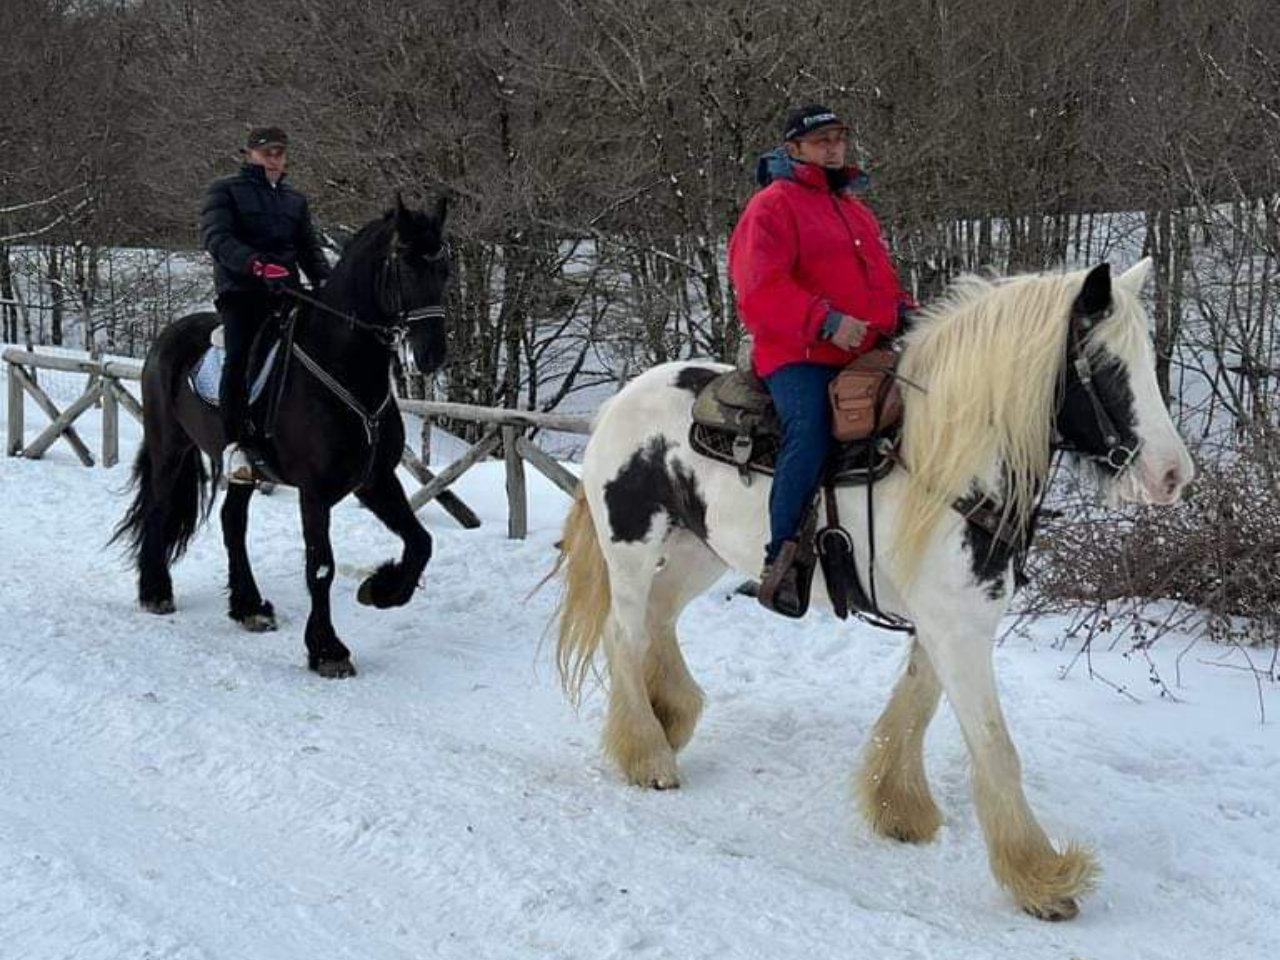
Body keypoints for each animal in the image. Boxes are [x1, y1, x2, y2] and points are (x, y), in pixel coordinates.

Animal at [112, 196, 450, 679]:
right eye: (403, 265)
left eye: (445, 270)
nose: (432, 354)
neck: (345, 366)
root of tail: (168, 337)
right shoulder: (315, 491)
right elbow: (321, 566)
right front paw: (327, 650)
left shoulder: (375, 480)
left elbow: (421, 542)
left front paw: (381, 590)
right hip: (169, 447)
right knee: (159, 509)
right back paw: (156, 591)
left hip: (243, 470)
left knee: (232, 523)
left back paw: (249, 606)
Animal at [551, 259, 1194, 919]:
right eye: (1106, 364)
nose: (1174, 475)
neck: (947, 464)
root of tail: (620, 401)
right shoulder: (957, 630)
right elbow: (995, 747)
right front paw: (1042, 877)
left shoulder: (946, 622)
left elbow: (913, 706)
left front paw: (898, 808)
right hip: (631, 551)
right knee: (622, 634)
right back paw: (647, 754)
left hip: (696, 553)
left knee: (659, 621)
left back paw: (671, 718)